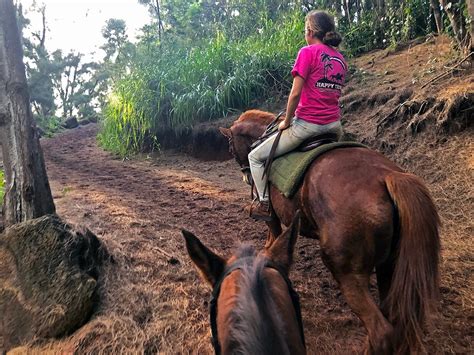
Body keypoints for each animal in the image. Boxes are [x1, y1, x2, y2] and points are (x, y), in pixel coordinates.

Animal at [218, 110, 440, 354]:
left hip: (347, 271)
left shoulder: (272, 217)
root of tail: (388, 177)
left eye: (230, 145)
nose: (245, 175)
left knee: (381, 330)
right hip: (388, 265)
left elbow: (272, 240)